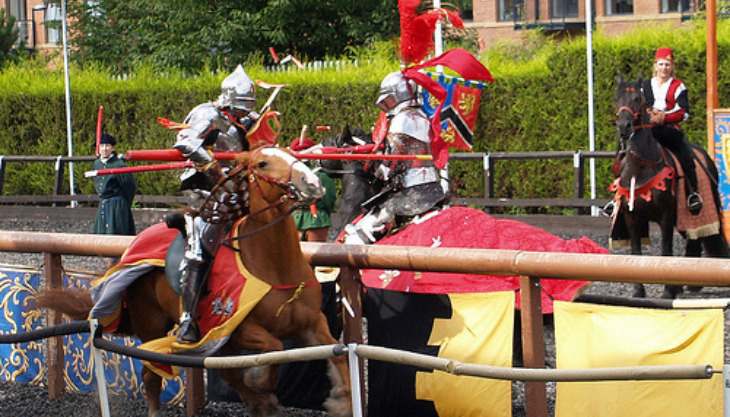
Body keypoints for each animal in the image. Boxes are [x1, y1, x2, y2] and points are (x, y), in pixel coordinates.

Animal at [38, 144, 352, 416]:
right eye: (262, 164)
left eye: (292, 154)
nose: (313, 184)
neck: (274, 266)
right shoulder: (236, 327)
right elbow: (273, 350)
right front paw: (261, 386)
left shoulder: (311, 325)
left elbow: (338, 356)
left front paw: (342, 401)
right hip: (151, 324)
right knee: (151, 374)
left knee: (224, 372)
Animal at [612, 74, 724, 296]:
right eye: (616, 98)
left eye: (638, 98)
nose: (624, 127)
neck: (642, 165)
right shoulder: (631, 217)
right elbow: (635, 252)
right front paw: (638, 291)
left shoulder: (665, 215)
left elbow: (665, 251)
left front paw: (667, 291)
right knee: (693, 240)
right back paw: (688, 284)